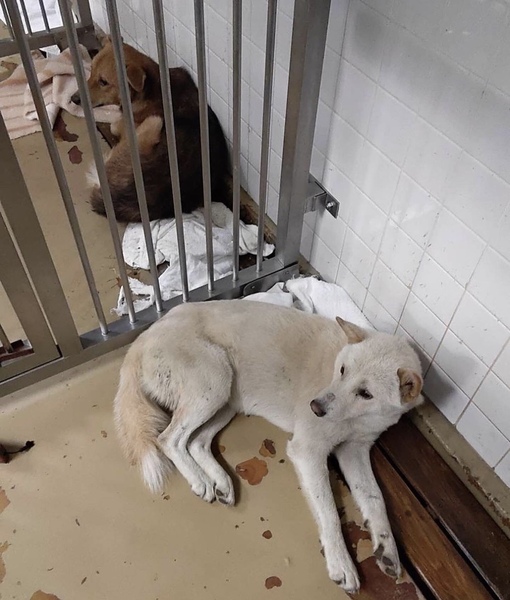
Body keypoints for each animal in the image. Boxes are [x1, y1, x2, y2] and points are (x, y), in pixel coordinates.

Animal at [71, 40, 230, 222]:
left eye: (103, 82)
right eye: (90, 71)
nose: (73, 99)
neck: (152, 87)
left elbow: (115, 124)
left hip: (155, 121)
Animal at [113, 299, 424, 593]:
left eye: (366, 393)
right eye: (343, 370)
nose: (315, 407)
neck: (358, 419)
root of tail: (144, 336)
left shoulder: (354, 451)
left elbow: (375, 498)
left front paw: (386, 548)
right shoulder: (307, 451)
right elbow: (330, 512)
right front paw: (341, 563)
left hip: (227, 399)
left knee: (197, 441)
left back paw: (220, 481)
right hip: (215, 381)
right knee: (170, 439)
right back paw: (199, 480)